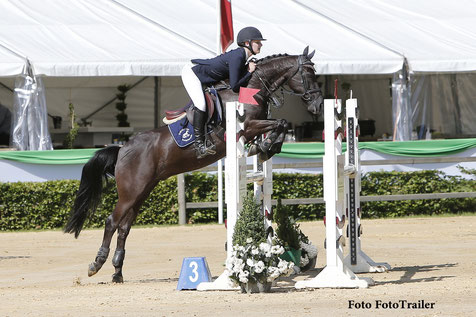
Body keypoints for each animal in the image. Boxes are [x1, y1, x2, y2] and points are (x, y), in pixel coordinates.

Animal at [64, 46, 324, 282]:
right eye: (309, 74)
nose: (317, 106)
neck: (252, 87)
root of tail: (122, 149)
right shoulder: (246, 127)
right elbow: (280, 122)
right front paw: (266, 146)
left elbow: (281, 123)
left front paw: (267, 147)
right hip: (131, 192)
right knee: (112, 222)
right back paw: (96, 264)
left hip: (142, 191)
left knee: (124, 227)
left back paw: (118, 272)